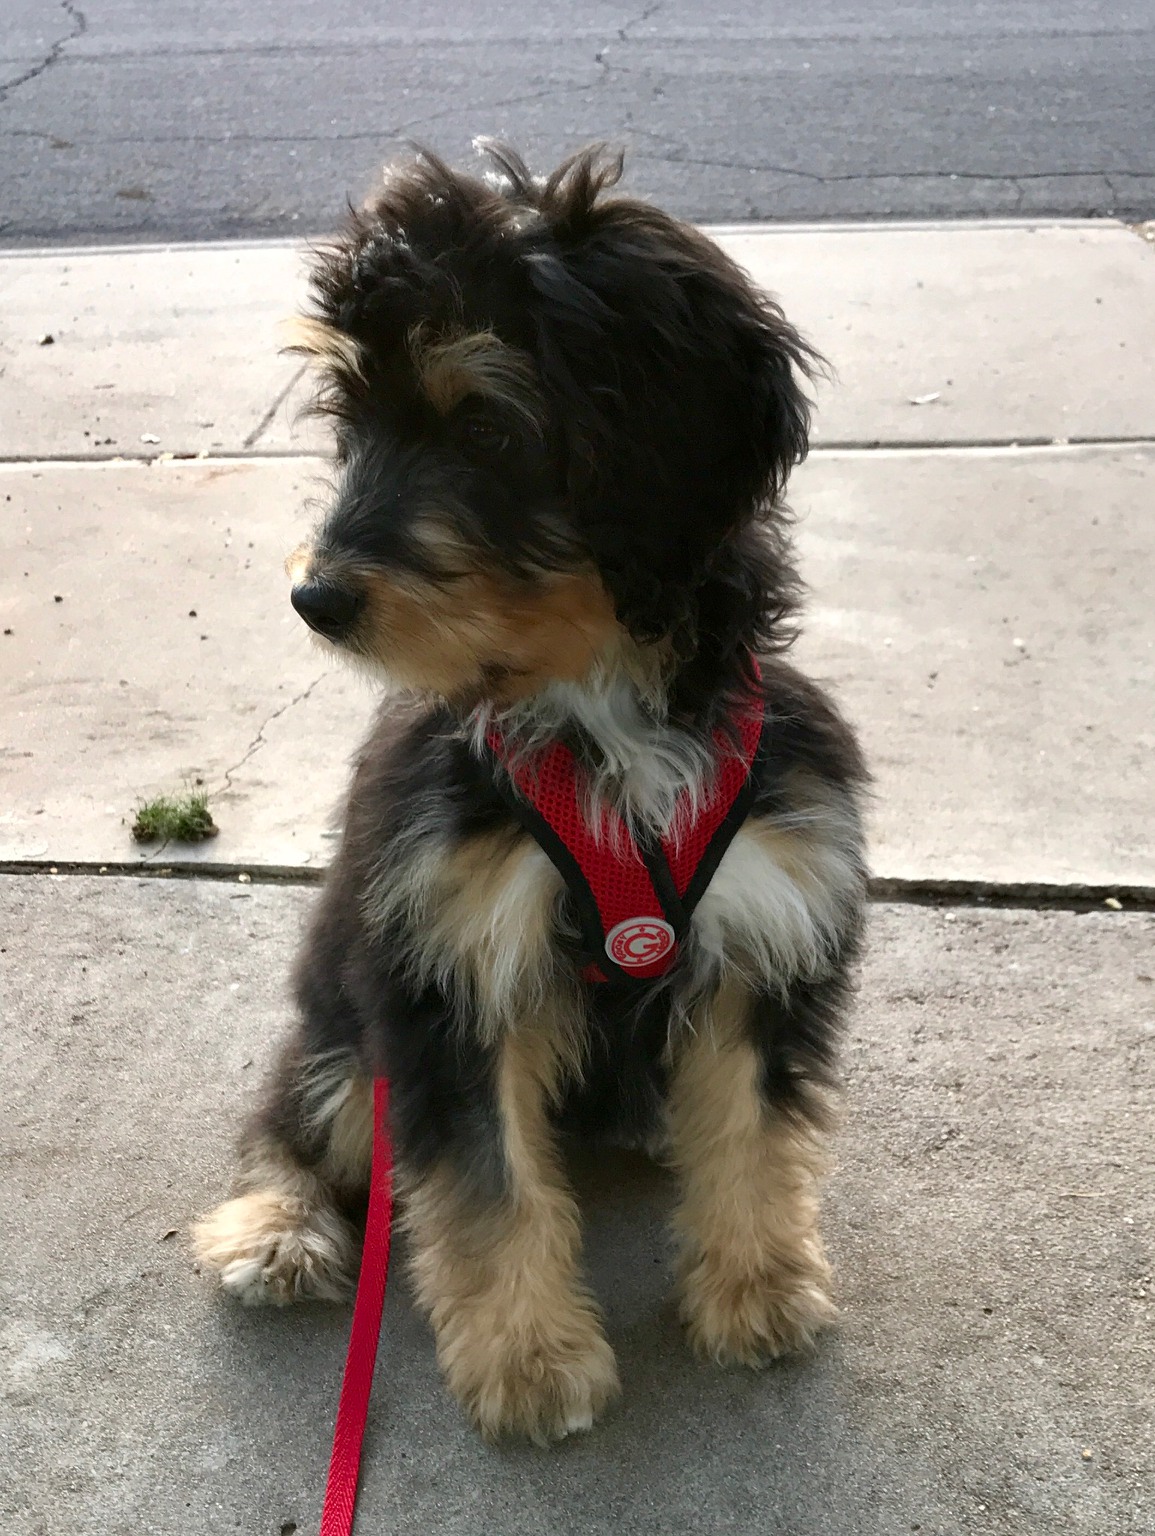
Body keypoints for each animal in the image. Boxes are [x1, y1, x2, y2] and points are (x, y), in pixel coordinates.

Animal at [192, 144, 867, 1443]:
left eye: (485, 428)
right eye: (352, 422)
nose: (317, 600)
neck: (599, 712)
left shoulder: (765, 930)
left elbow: (750, 1124)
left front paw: (755, 1288)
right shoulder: (443, 971)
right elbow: (487, 1180)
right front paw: (530, 1360)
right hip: (342, 1030)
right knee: (292, 1118)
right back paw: (277, 1224)